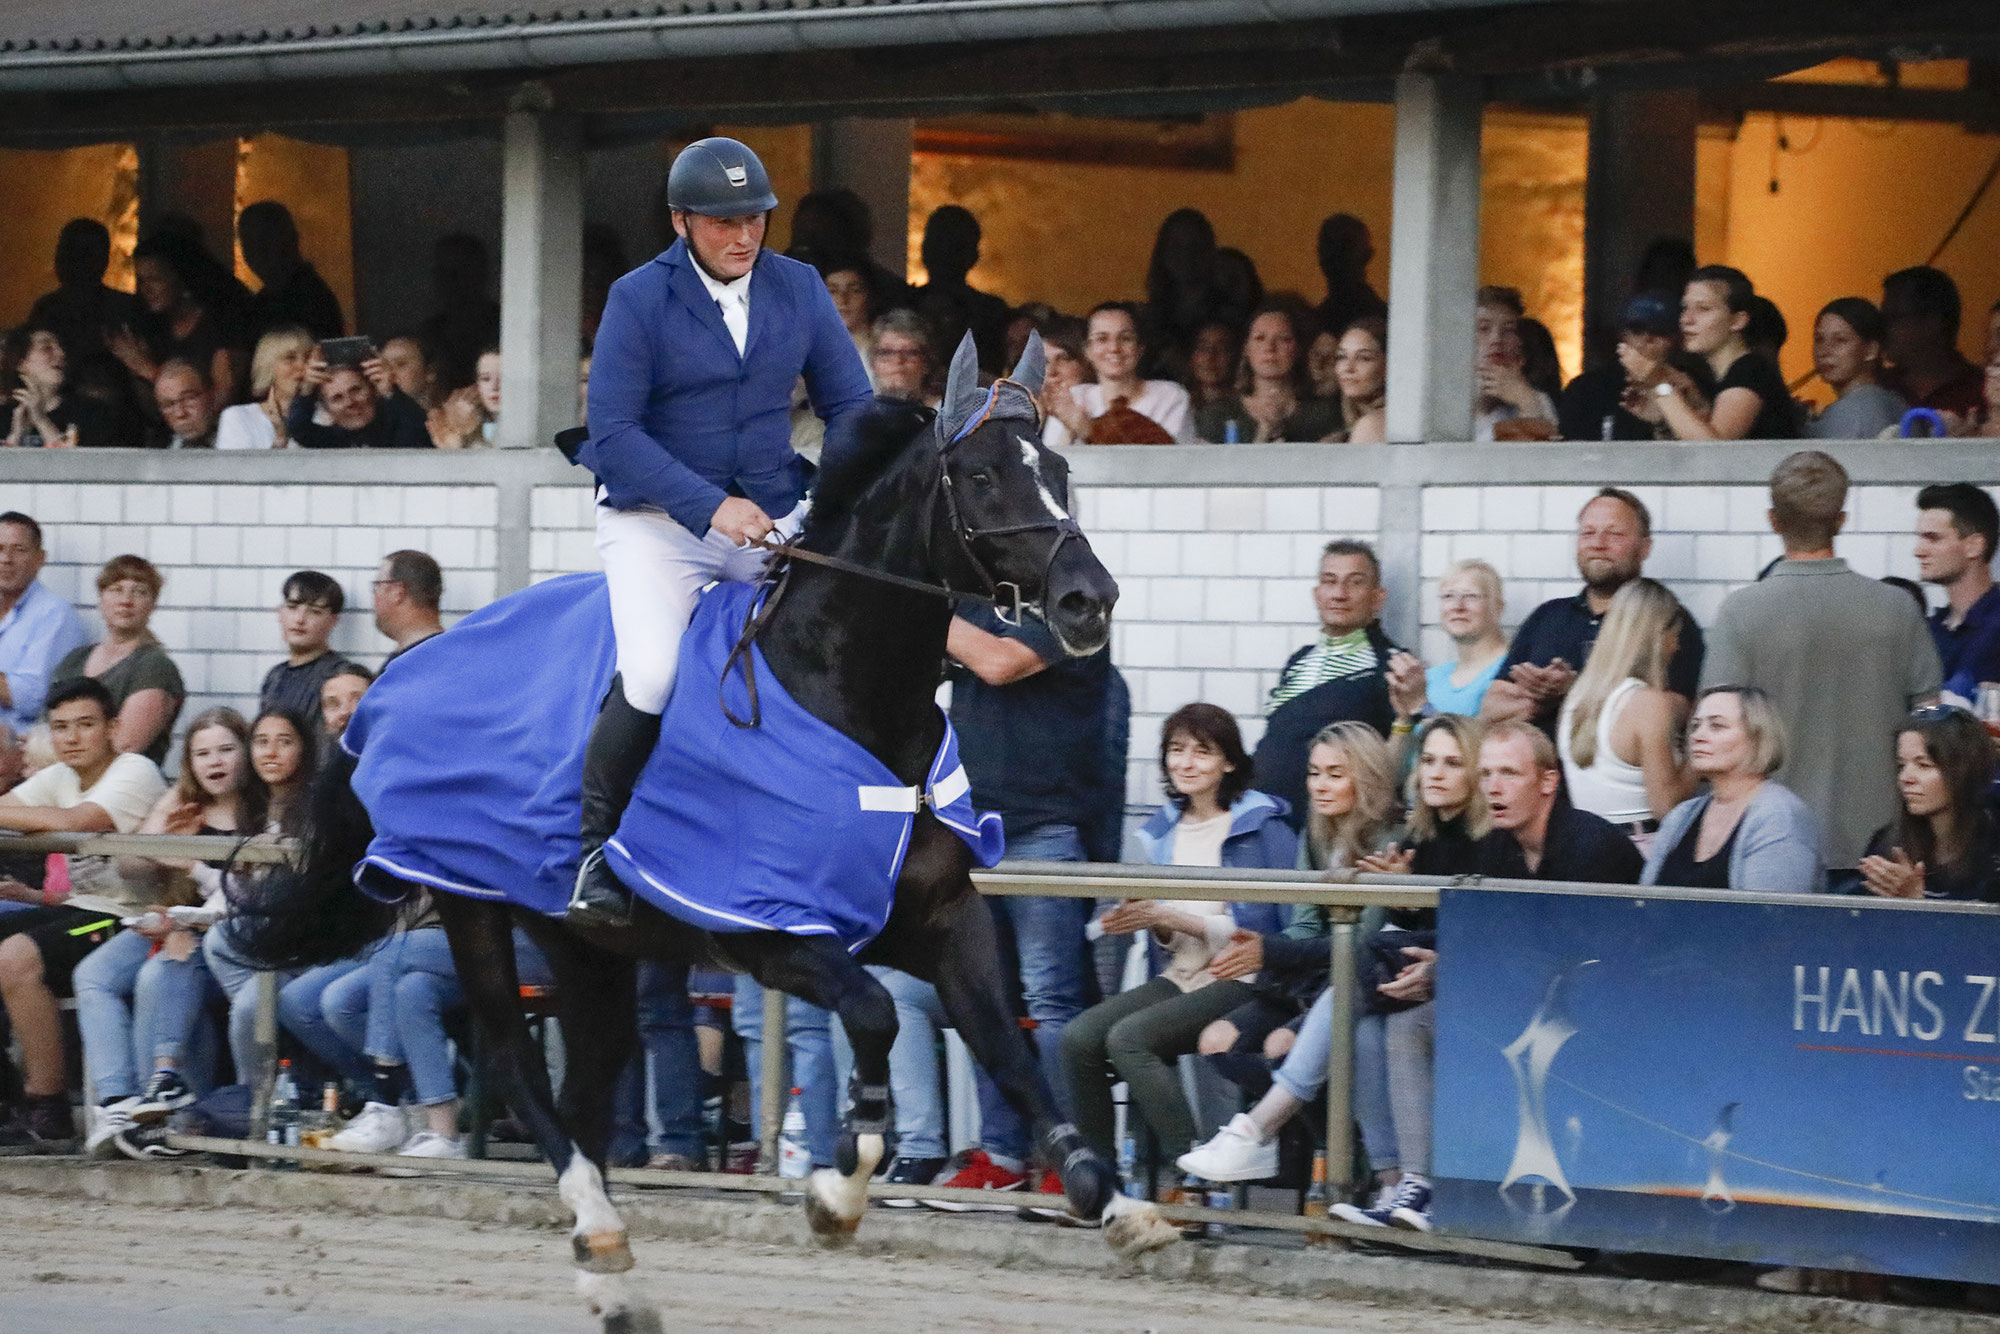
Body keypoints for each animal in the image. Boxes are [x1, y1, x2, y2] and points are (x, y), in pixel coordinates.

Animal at [232, 336, 1176, 1334]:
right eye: (987, 476)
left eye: (1060, 473)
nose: (1088, 602)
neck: (844, 693)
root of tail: (394, 676)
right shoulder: (768, 932)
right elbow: (876, 1016)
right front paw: (838, 1188)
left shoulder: (944, 921)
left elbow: (1009, 1052)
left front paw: (1112, 1201)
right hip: (474, 907)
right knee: (523, 1073)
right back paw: (601, 1231)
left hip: (587, 954)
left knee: (585, 1090)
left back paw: (612, 1279)